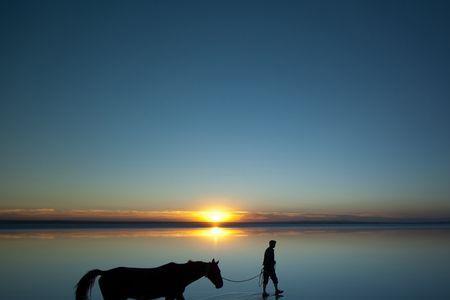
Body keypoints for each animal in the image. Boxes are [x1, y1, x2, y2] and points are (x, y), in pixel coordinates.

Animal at [76, 258, 223, 298]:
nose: (220, 284)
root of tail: (105, 273)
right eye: (216, 271)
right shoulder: (171, 295)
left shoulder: (176, 295)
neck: (180, 273)